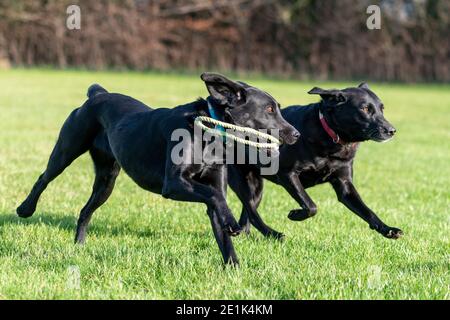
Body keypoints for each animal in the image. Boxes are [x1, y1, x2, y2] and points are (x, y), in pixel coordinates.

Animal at [16, 73, 298, 264]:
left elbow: (220, 223)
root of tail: (98, 94)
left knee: (85, 211)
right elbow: (215, 198)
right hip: (67, 149)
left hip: (107, 180)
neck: (208, 131)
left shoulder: (211, 188)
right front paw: (231, 223)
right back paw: (25, 208)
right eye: (269, 109)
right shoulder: (173, 184)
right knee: (43, 178)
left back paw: (79, 246)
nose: (295, 134)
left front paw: (234, 267)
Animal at [229, 82, 404, 240]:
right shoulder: (287, 174)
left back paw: (245, 233)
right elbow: (311, 206)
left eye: (382, 109)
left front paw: (388, 230)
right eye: (365, 109)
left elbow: (367, 211)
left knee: (248, 211)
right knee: (251, 211)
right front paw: (295, 214)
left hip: (257, 187)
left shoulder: (344, 185)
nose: (392, 130)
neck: (332, 138)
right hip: (241, 182)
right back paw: (271, 234)